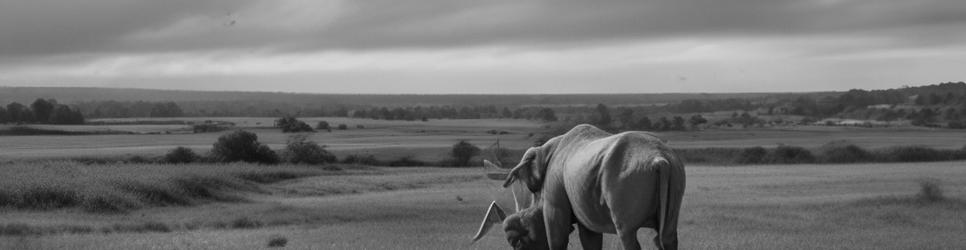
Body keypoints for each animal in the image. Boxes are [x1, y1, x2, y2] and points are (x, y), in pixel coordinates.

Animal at [472, 124, 684, 250]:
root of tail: (660, 160)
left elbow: (556, 239)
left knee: (626, 232)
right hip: (675, 170)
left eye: (518, 243)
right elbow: (591, 241)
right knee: (666, 236)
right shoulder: (586, 208)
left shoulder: (554, 205)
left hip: (628, 177)